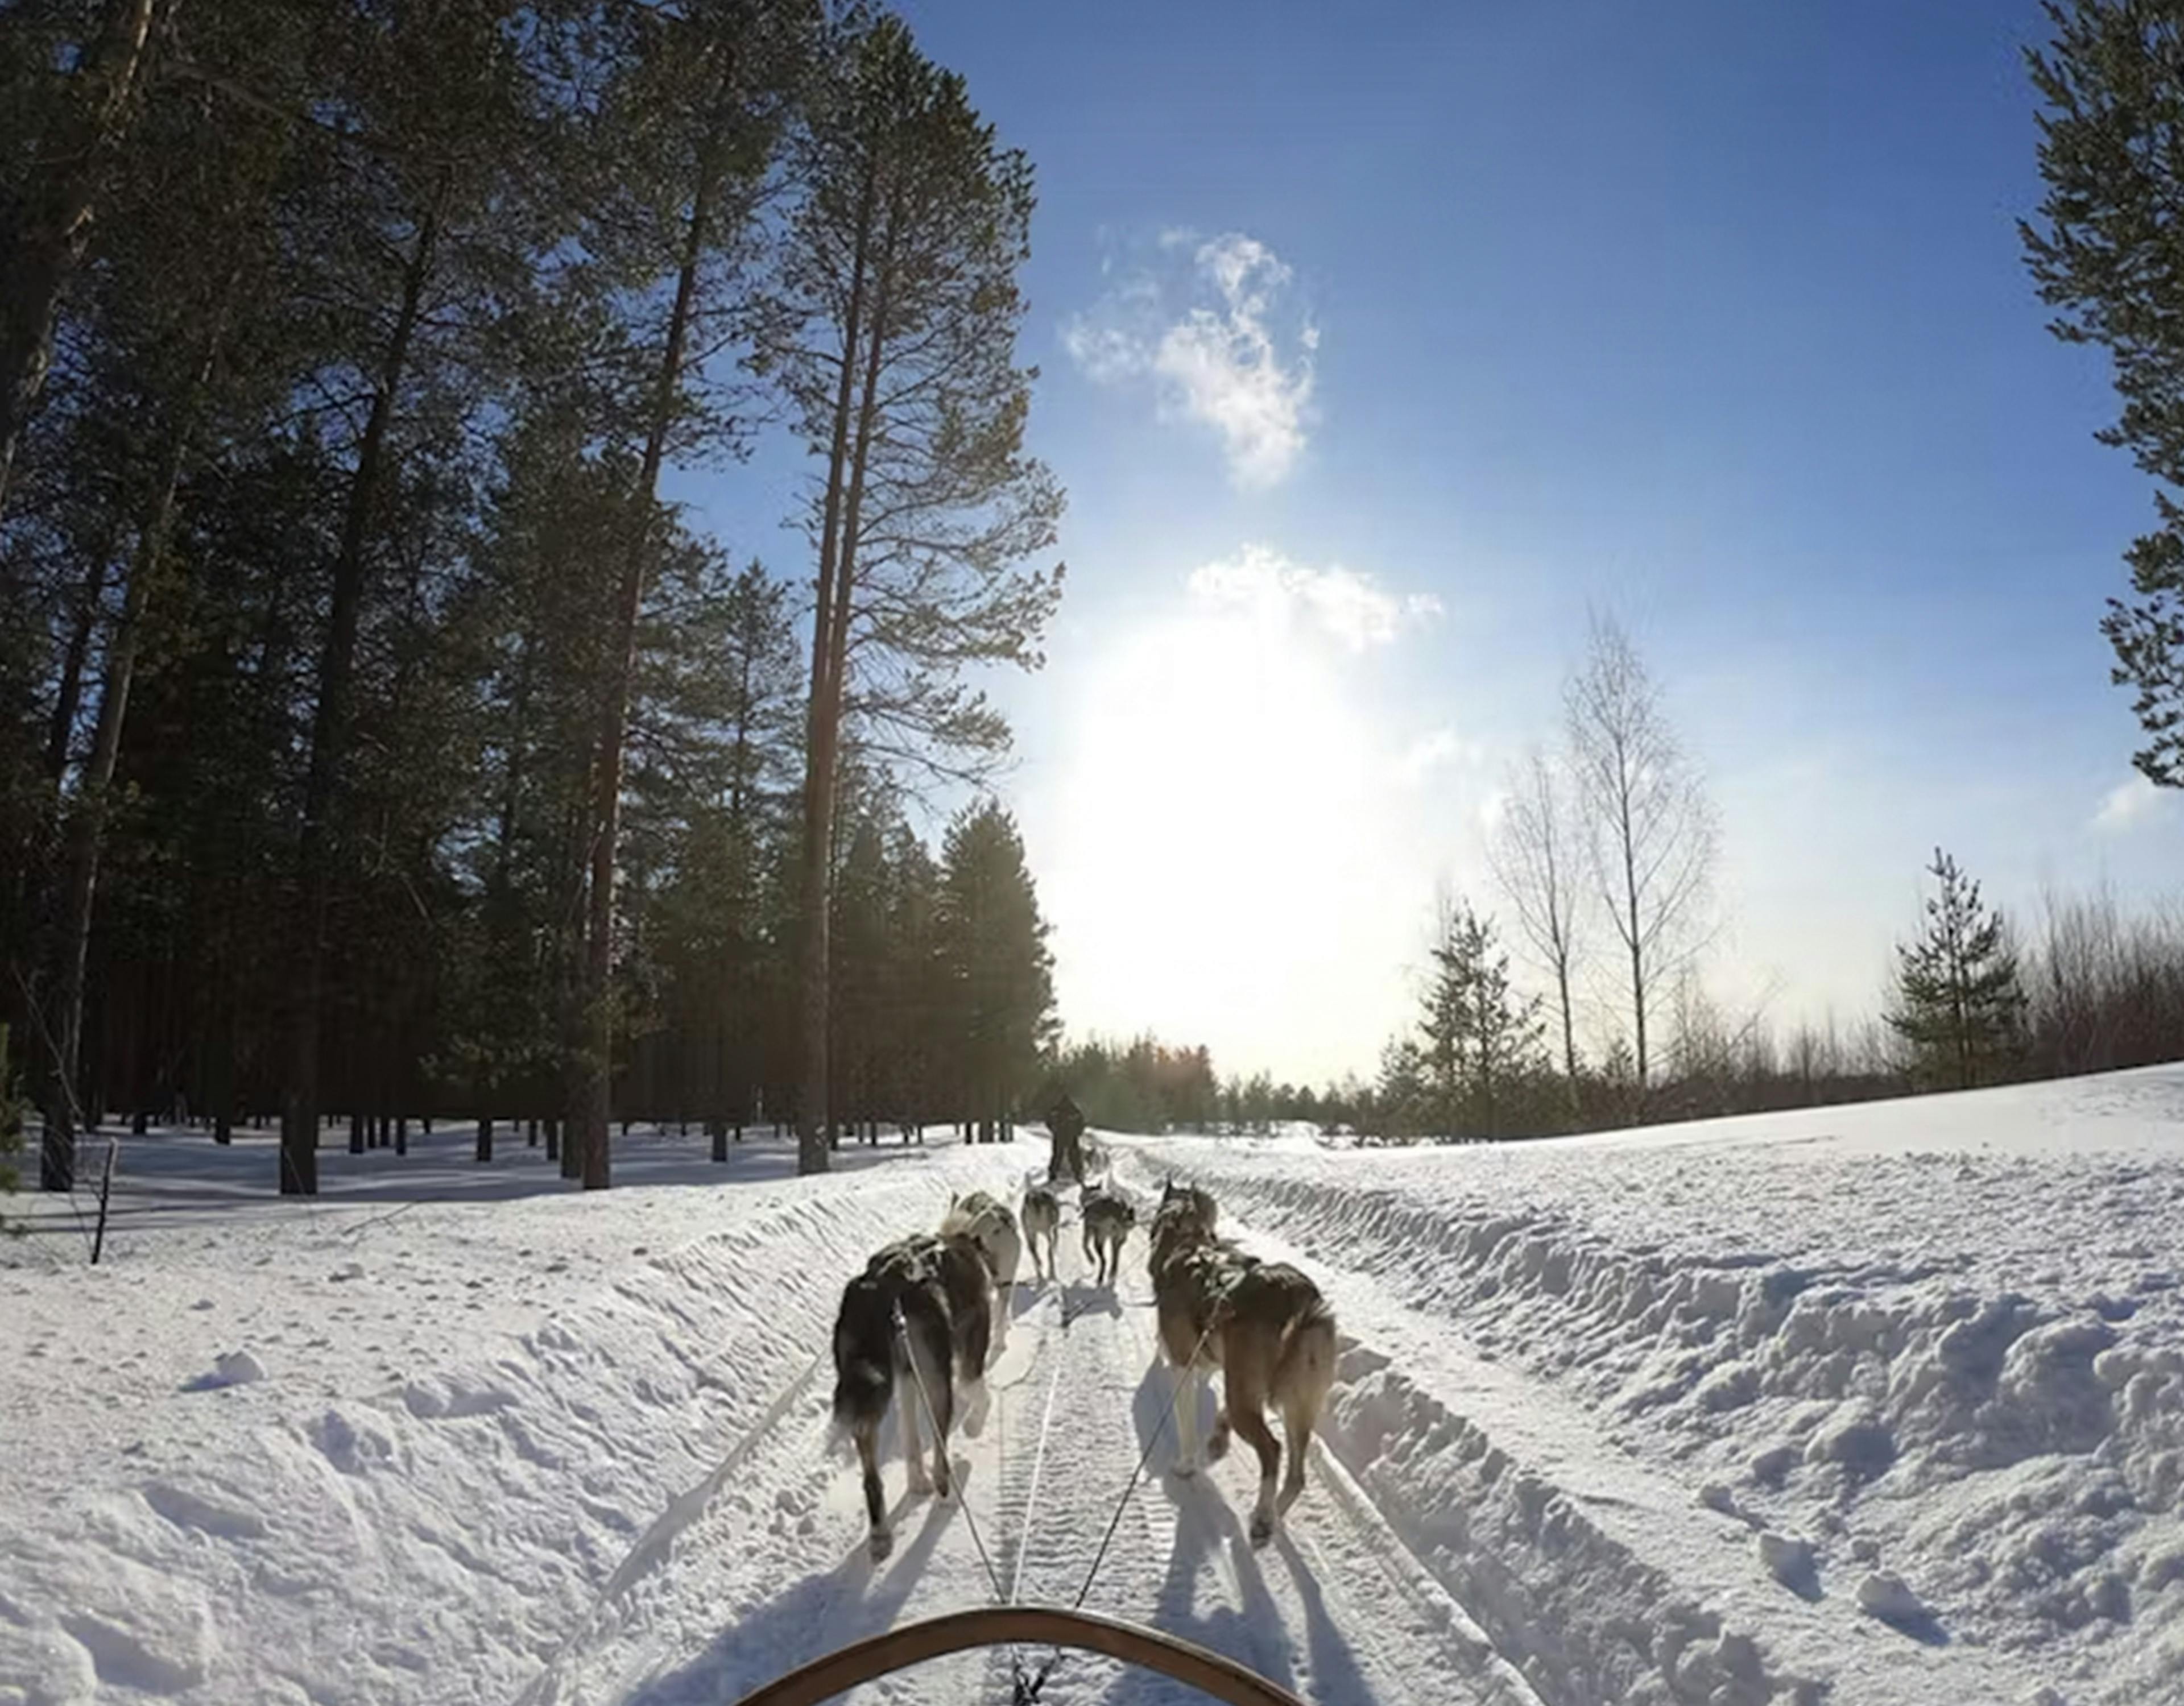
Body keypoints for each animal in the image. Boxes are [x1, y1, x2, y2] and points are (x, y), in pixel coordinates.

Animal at [830, 1232, 996, 1564]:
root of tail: (883, 1285)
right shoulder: (971, 1347)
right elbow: (976, 1391)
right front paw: (974, 1425)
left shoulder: (907, 1376)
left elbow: (910, 1436)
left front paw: (917, 1481)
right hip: (937, 1378)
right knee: (941, 1456)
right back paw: (948, 1497)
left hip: (870, 1388)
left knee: (871, 1478)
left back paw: (881, 1536)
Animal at [1153, 1170, 1337, 1546]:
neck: (1188, 1244)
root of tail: (1298, 1298)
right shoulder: (1227, 1371)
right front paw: (1217, 1440)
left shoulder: (1184, 1366)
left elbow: (1186, 1423)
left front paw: (1186, 1465)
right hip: (1298, 1404)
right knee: (1296, 1474)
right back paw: (1269, 1515)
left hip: (1254, 1402)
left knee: (1273, 1450)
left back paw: (1264, 1515)